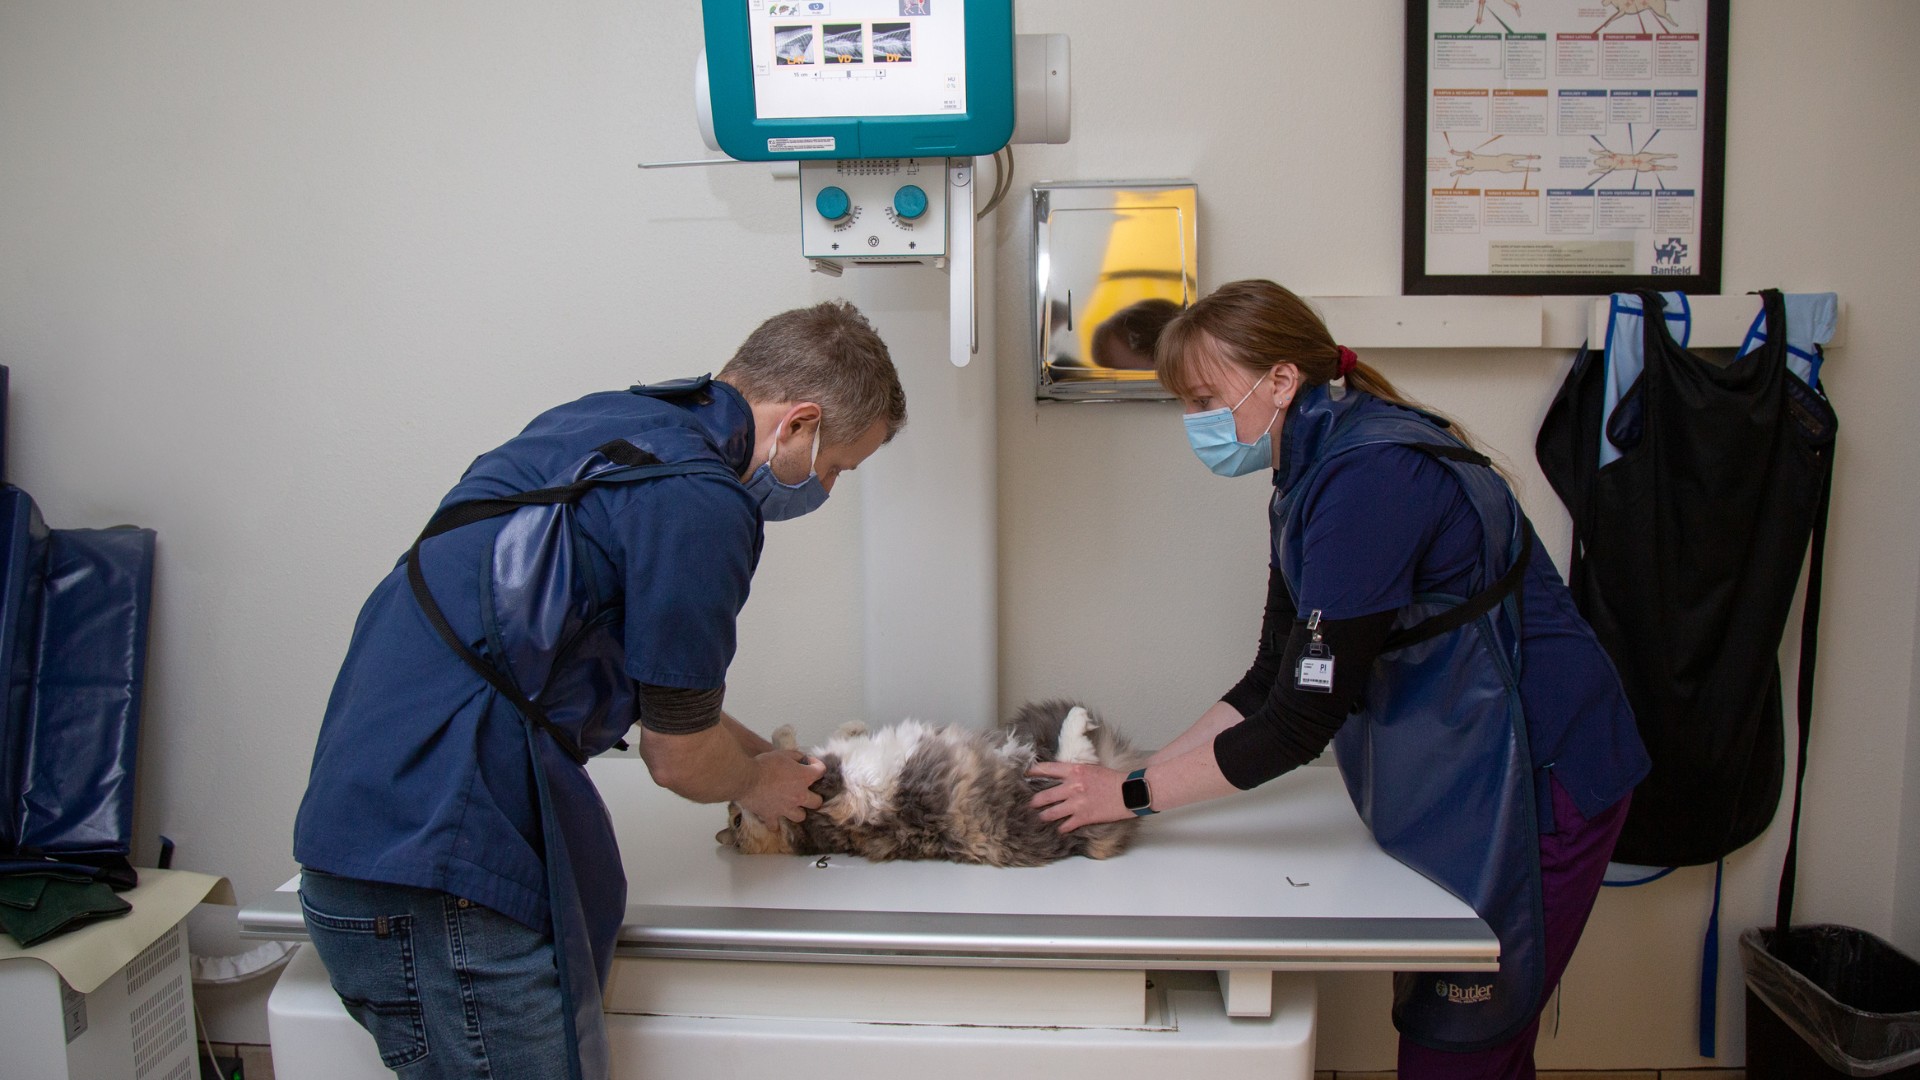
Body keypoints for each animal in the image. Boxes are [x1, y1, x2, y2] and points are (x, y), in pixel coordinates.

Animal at [718, 699, 1136, 864]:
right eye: (736, 821)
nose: (736, 808)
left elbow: (836, 737)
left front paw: (853, 726)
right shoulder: (830, 788)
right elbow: (790, 750)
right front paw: (782, 745)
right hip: (1050, 787)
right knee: (1078, 756)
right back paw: (1077, 719)